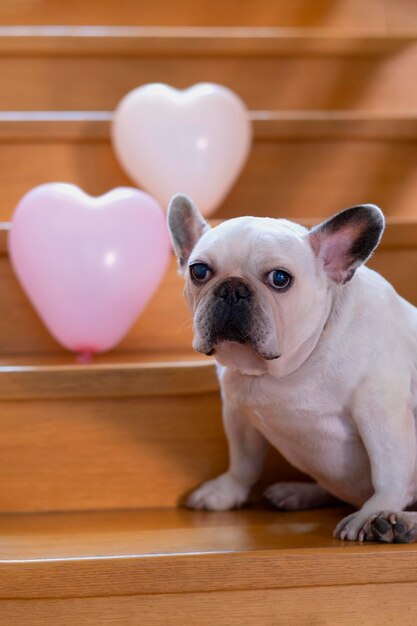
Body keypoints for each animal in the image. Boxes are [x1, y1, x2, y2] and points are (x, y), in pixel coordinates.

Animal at [167, 194, 417, 540]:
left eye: (280, 279)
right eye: (199, 271)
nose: (232, 288)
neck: (285, 371)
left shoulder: (380, 411)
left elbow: (389, 471)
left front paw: (375, 511)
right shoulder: (237, 413)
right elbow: (243, 463)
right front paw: (227, 492)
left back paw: (396, 523)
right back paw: (300, 492)